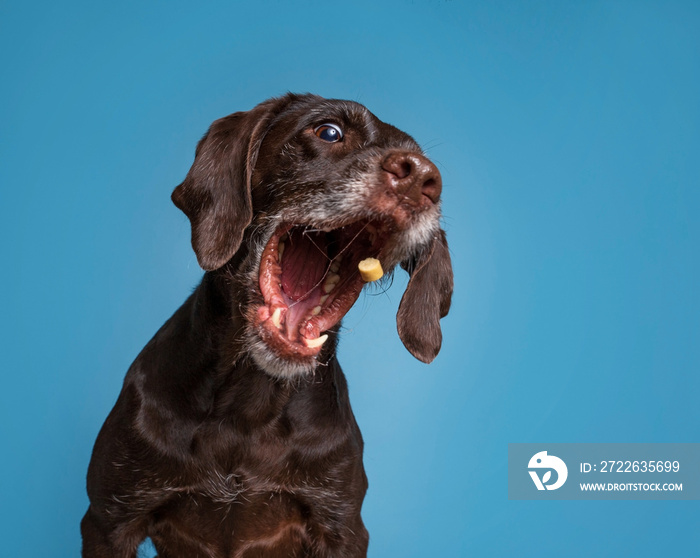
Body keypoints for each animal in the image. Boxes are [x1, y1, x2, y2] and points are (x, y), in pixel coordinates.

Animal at [82, 95, 454, 558]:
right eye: (328, 131)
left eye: (428, 170)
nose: (423, 178)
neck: (248, 407)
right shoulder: (109, 523)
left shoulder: (342, 528)